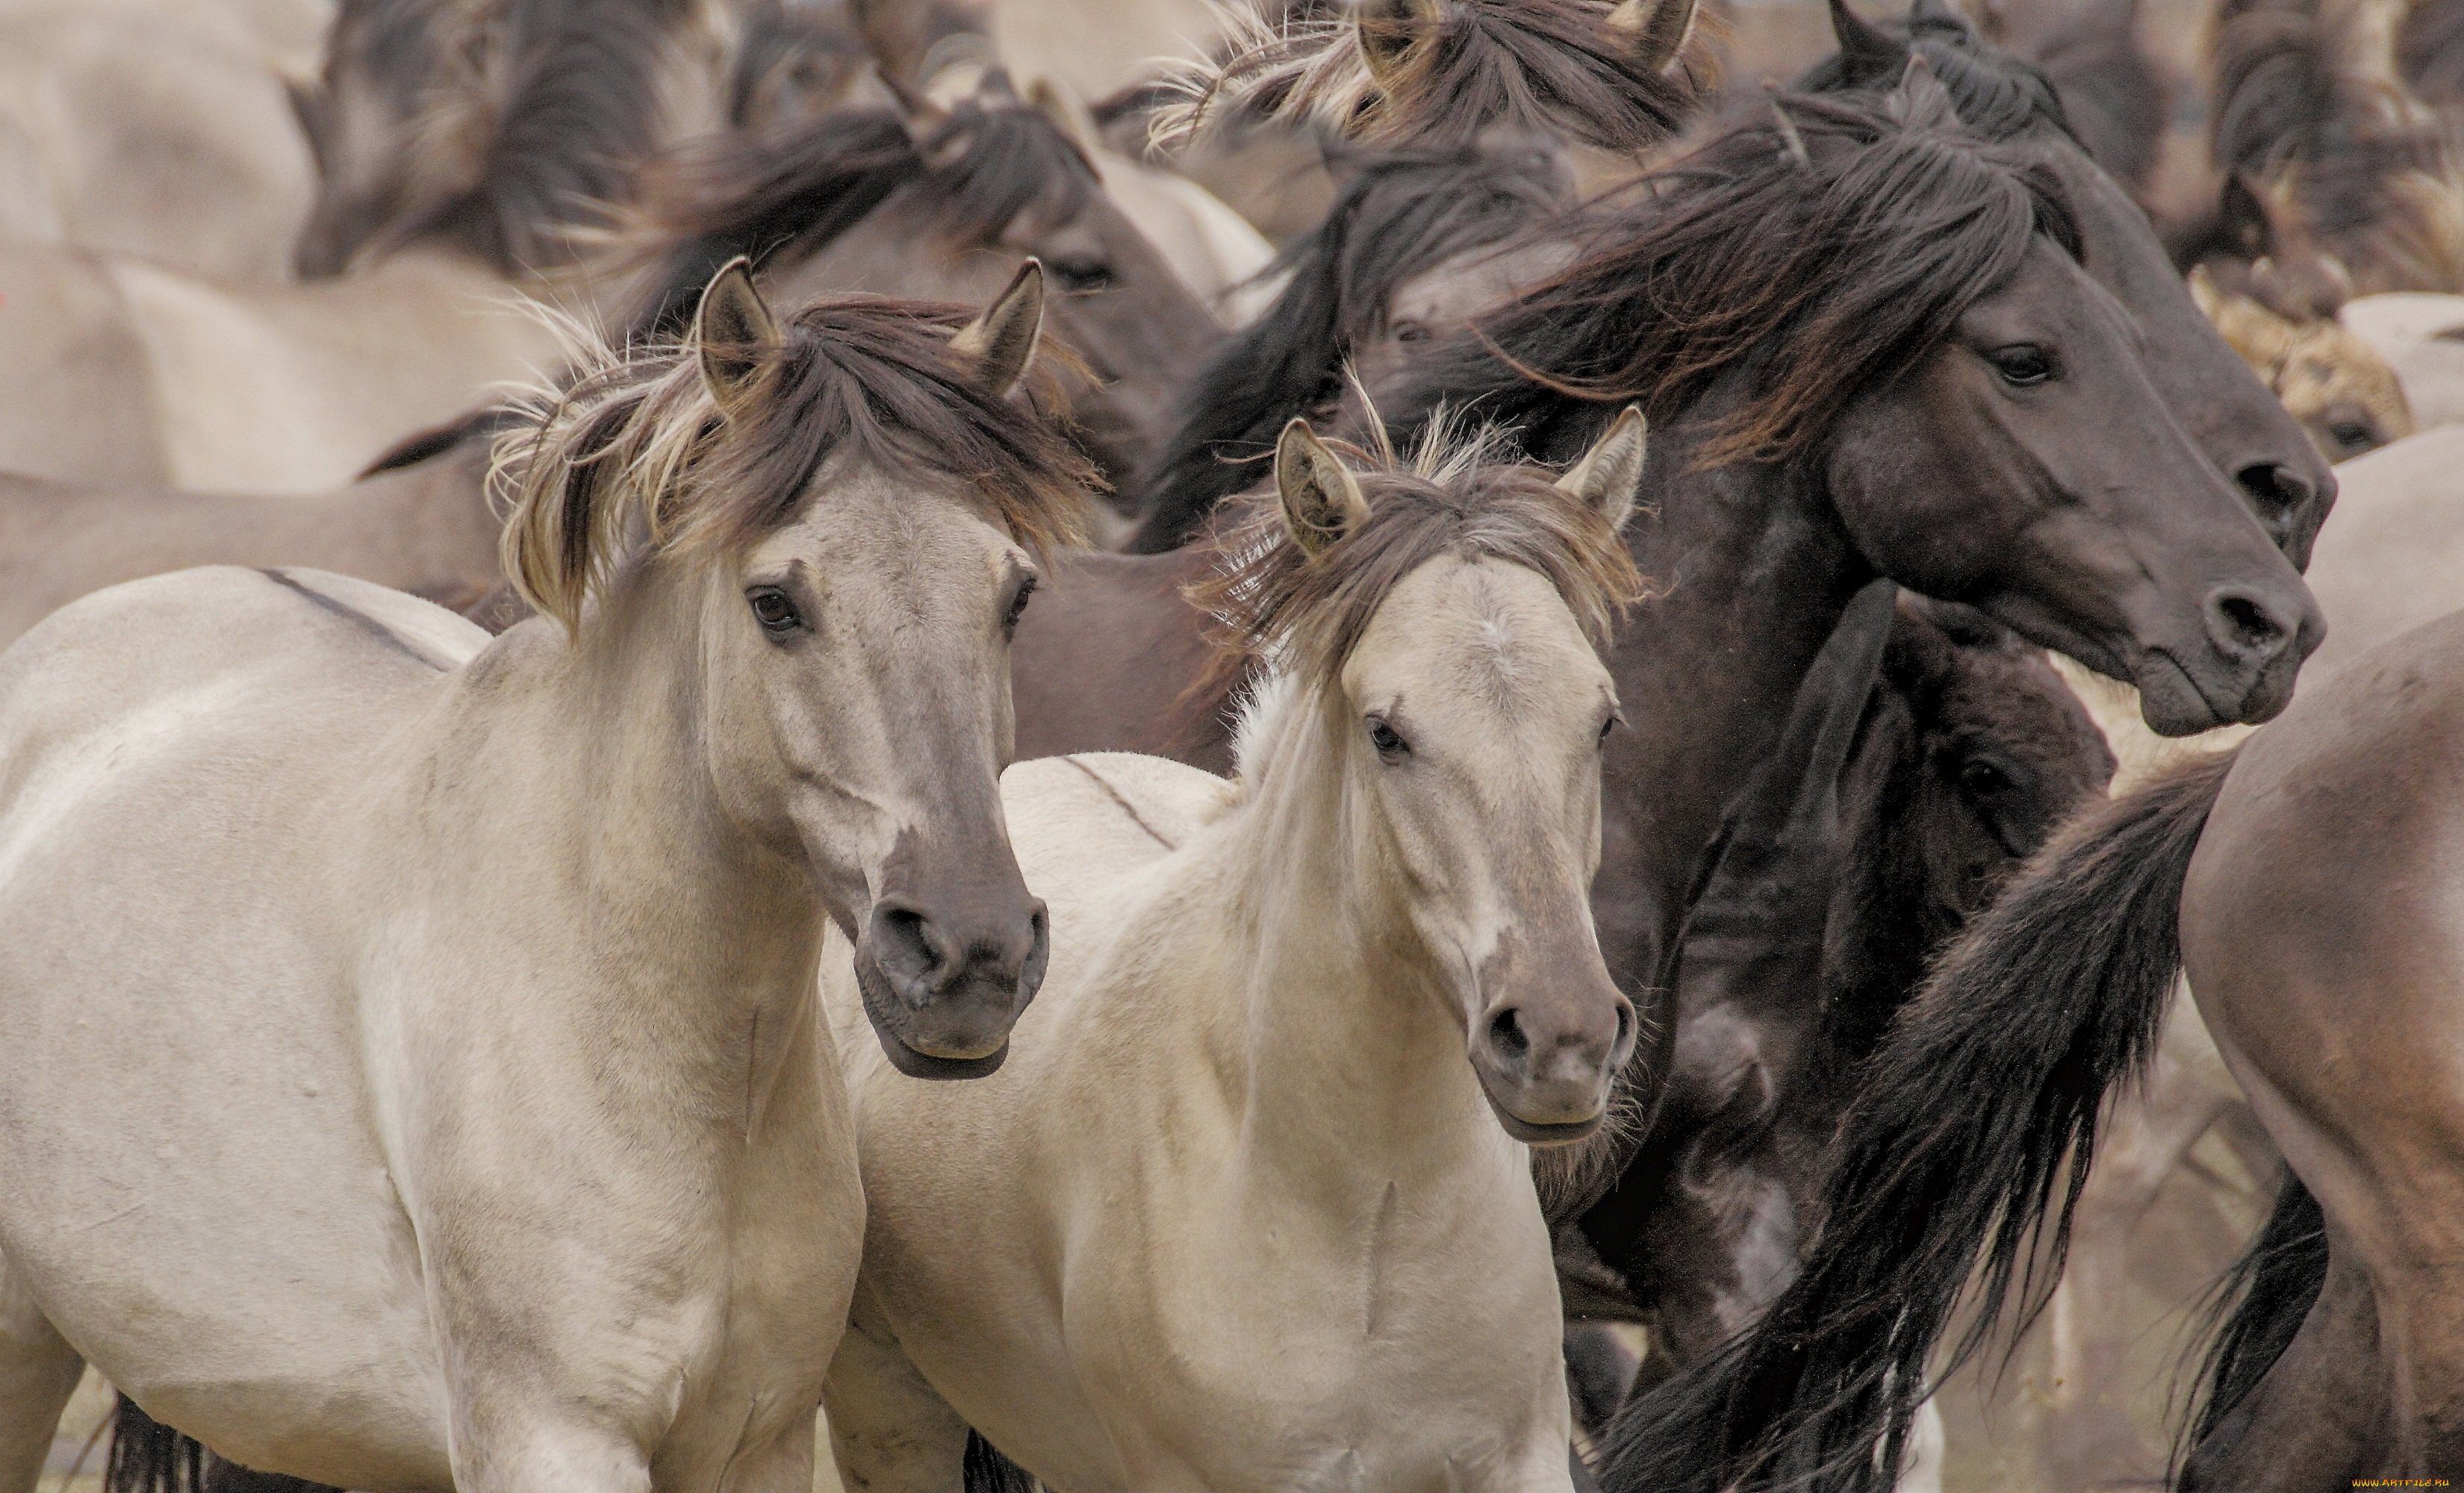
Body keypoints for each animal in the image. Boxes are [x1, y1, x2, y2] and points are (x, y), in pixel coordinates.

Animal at [827, 408, 1655, 1493]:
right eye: (1386, 732)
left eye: (1602, 720)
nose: (1563, 1040)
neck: (1363, 1211)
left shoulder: (1516, 1463)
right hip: (887, 1409)